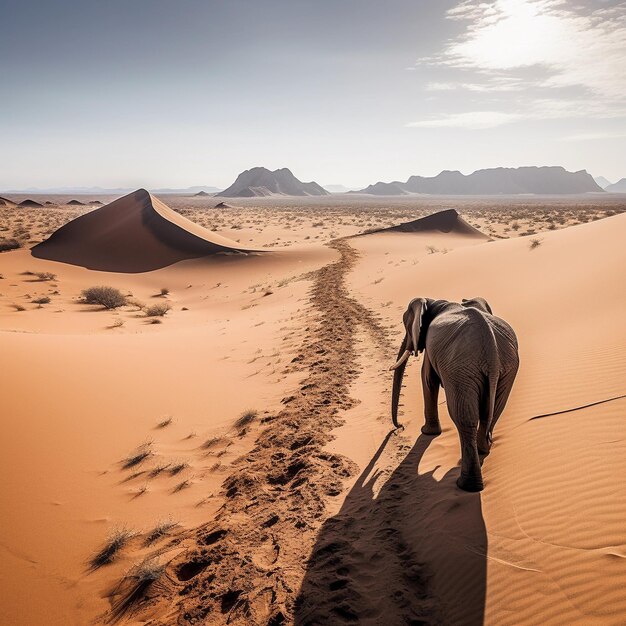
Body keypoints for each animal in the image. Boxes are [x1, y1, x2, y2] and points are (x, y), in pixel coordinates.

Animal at [390, 294, 516, 490]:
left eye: (406, 324)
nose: (400, 426)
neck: (435, 302)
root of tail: (492, 353)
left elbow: (428, 380)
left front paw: (427, 432)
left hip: (461, 371)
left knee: (464, 420)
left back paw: (467, 486)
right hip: (505, 369)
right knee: (493, 412)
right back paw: (483, 450)